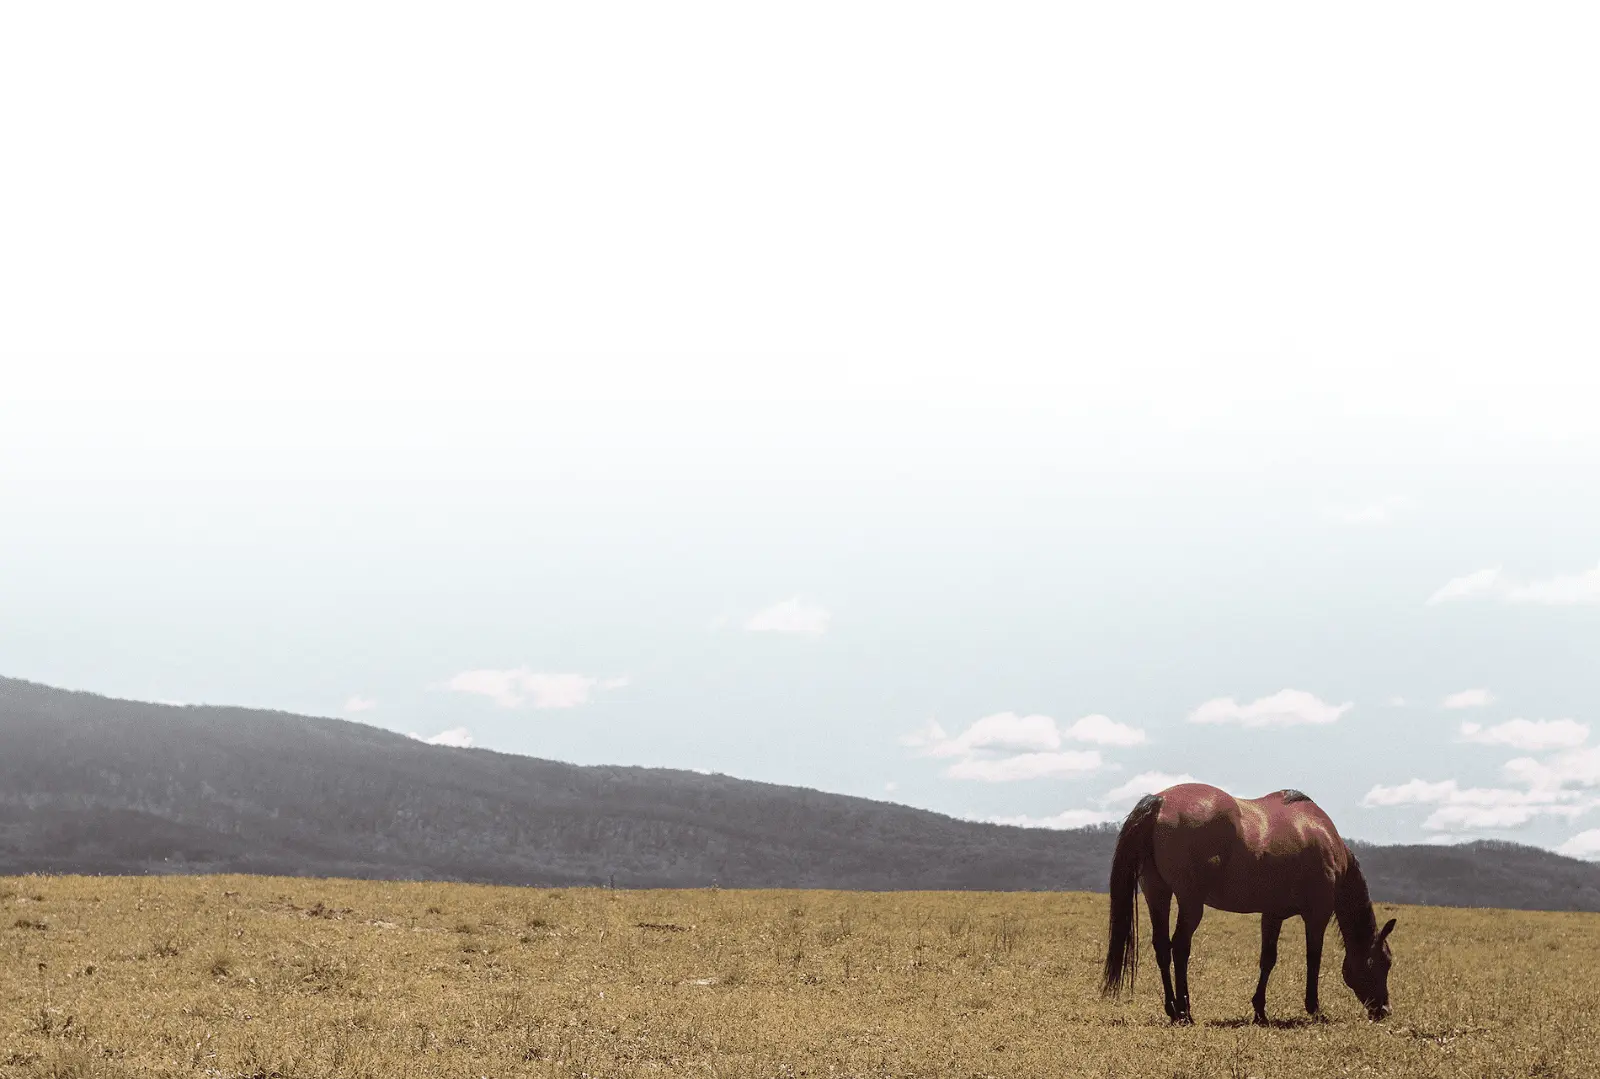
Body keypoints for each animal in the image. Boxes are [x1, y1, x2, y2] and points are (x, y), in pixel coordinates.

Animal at [1100, 782, 1396, 1024]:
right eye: (1383, 962)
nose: (1384, 1010)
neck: (1323, 836)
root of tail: (1160, 801)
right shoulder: (1317, 914)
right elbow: (1314, 959)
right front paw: (1314, 1009)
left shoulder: (1272, 914)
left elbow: (1268, 959)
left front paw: (1260, 1010)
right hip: (1190, 902)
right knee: (1180, 947)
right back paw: (1185, 1011)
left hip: (1157, 893)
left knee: (1162, 946)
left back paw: (1172, 1009)